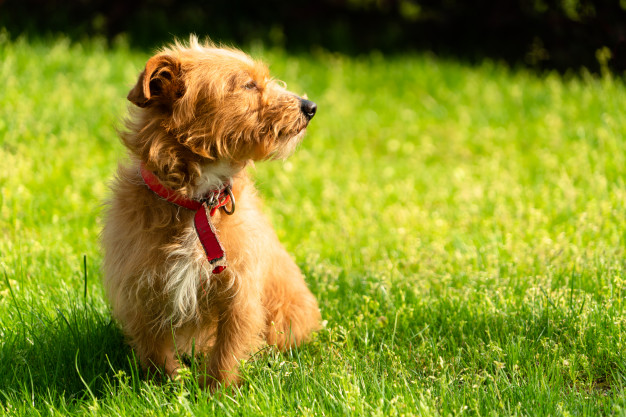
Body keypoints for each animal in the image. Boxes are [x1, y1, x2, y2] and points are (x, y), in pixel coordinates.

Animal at [102, 36, 320, 390]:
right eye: (248, 85)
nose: (310, 106)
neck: (199, 203)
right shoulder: (140, 289)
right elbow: (154, 349)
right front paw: (168, 387)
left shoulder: (240, 291)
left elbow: (228, 349)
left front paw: (218, 391)